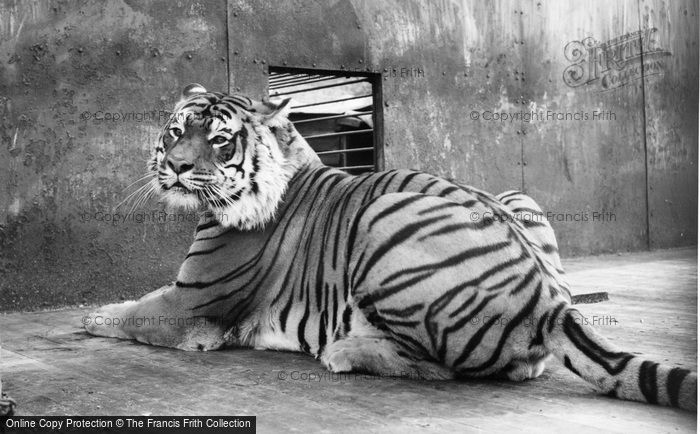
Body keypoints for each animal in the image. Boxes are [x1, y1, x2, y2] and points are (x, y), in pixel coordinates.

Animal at [85, 83, 696, 412]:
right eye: (175, 131)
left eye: (218, 140)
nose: (173, 166)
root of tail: (551, 306)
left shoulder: (192, 302)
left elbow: (130, 313)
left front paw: (93, 316)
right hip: (516, 196)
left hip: (382, 218)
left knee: (443, 369)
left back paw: (345, 350)